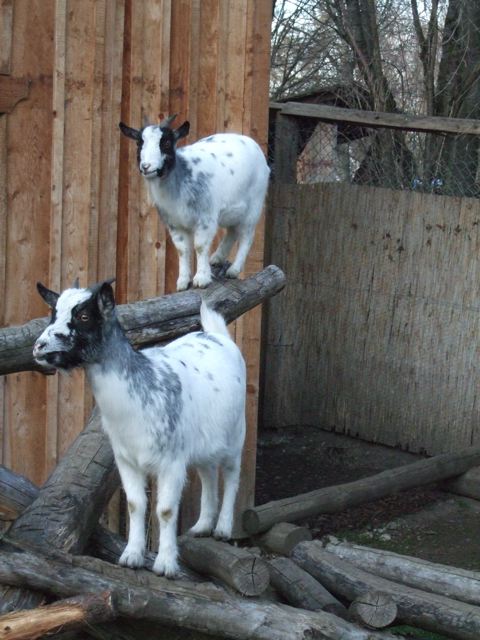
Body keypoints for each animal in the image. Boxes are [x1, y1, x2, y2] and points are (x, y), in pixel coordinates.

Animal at [32, 278, 248, 576]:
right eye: (53, 313)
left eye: (84, 316)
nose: (40, 347)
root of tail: (218, 336)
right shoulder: (126, 459)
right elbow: (136, 505)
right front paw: (131, 557)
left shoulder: (172, 462)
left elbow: (166, 510)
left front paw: (166, 564)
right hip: (204, 441)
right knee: (207, 473)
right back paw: (202, 526)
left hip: (236, 434)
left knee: (231, 475)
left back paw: (223, 529)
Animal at [119, 116, 270, 292]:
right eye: (138, 143)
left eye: (167, 143)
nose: (146, 166)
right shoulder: (174, 224)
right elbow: (182, 249)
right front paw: (182, 282)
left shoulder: (205, 218)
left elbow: (200, 246)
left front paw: (201, 279)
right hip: (233, 211)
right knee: (232, 231)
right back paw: (217, 258)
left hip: (254, 205)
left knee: (247, 236)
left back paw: (233, 270)